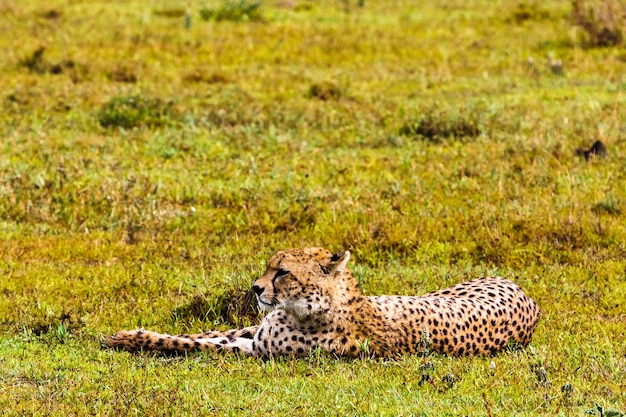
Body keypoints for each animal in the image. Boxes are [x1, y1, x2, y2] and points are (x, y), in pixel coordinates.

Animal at [105, 247, 540, 358]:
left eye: (282, 272)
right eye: (269, 266)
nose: (255, 289)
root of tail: (528, 298)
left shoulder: (258, 349)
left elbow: (190, 343)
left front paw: (127, 339)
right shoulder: (254, 329)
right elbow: (207, 331)